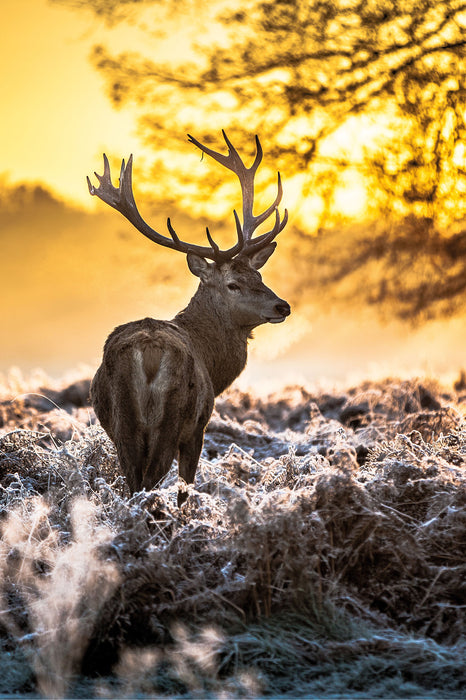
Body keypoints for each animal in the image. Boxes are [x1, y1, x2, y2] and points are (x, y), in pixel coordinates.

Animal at [87, 131, 290, 504]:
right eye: (233, 284)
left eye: (259, 276)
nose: (282, 306)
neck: (212, 362)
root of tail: (148, 353)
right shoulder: (199, 426)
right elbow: (186, 486)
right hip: (173, 417)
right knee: (151, 479)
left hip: (123, 422)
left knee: (133, 481)